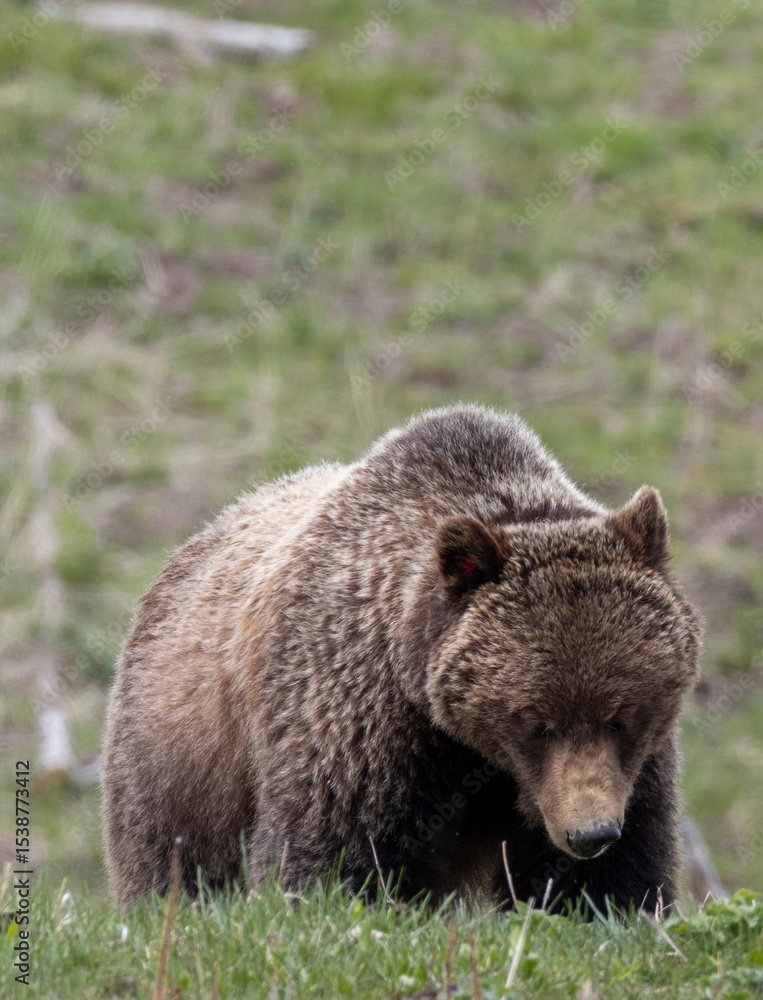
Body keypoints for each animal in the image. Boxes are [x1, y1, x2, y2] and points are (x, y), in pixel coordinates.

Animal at [102, 404, 702, 913]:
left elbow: (612, 879)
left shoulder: (634, 770)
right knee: (175, 858)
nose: (590, 833)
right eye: (535, 722)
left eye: (621, 716)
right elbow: (333, 850)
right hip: (182, 752)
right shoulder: (359, 718)